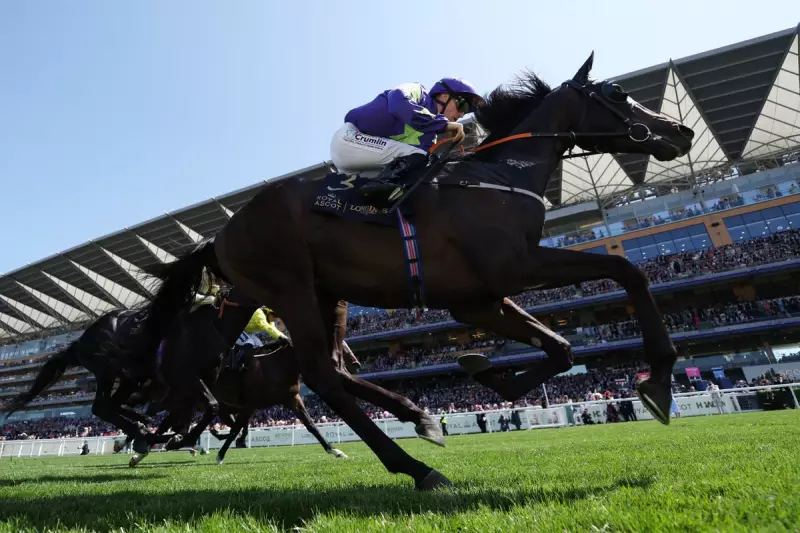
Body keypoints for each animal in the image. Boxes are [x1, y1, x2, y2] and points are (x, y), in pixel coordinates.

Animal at [122, 53, 696, 490]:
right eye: (617, 92)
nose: (682, 131)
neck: (497, 179)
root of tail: (220, 235)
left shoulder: (477, 298)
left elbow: (560, 347)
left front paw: (486, 371)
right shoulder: (515, 267)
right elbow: (626, 270)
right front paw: (658, 382)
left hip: (315, 295)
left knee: (312, 370)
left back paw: (418, 419)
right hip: (289, 288)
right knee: (319, 374)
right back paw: (416, 467)